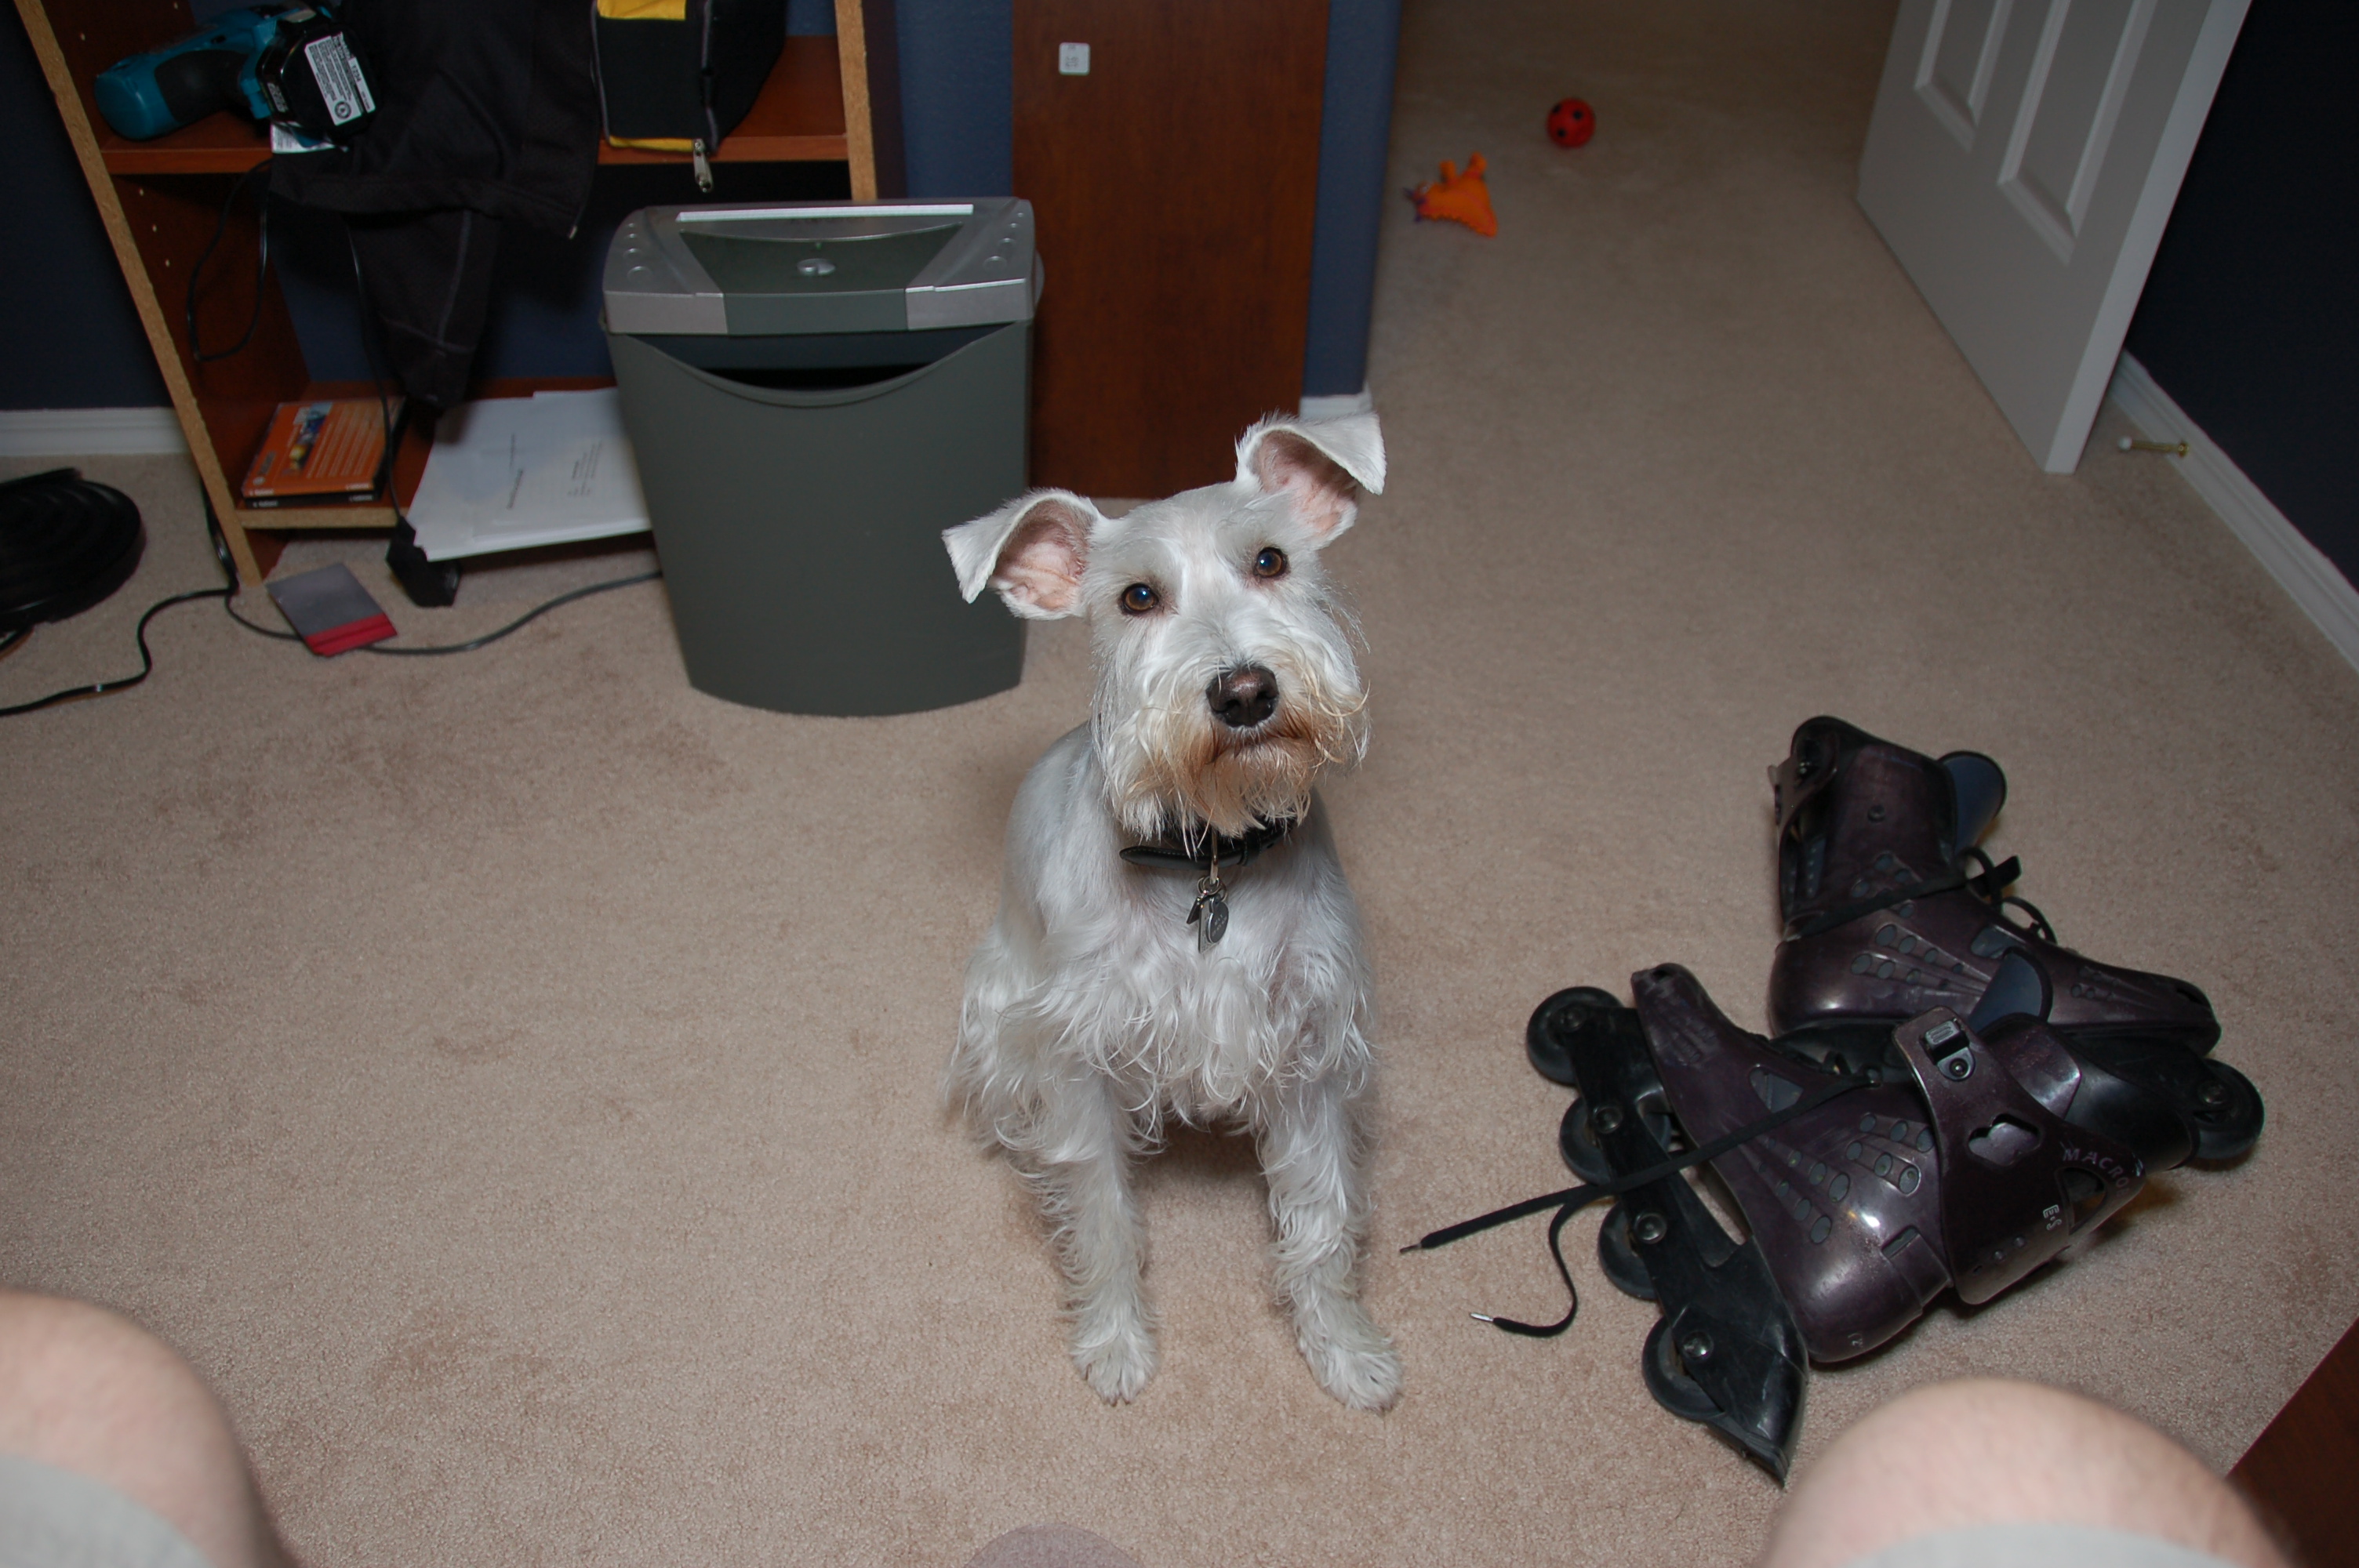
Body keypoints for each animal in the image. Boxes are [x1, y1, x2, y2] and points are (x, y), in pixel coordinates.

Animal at [939, 413, 1400, 1411]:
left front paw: (1342, 1347)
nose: (1243, 692)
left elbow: (1320, 1221)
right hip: (998, 1012)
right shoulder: (1076, 1061)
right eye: (1137, 596)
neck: (1211, 858)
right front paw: (1115, 1342)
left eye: (1270, 559)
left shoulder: (1308, 1054)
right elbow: (1104, 1216)